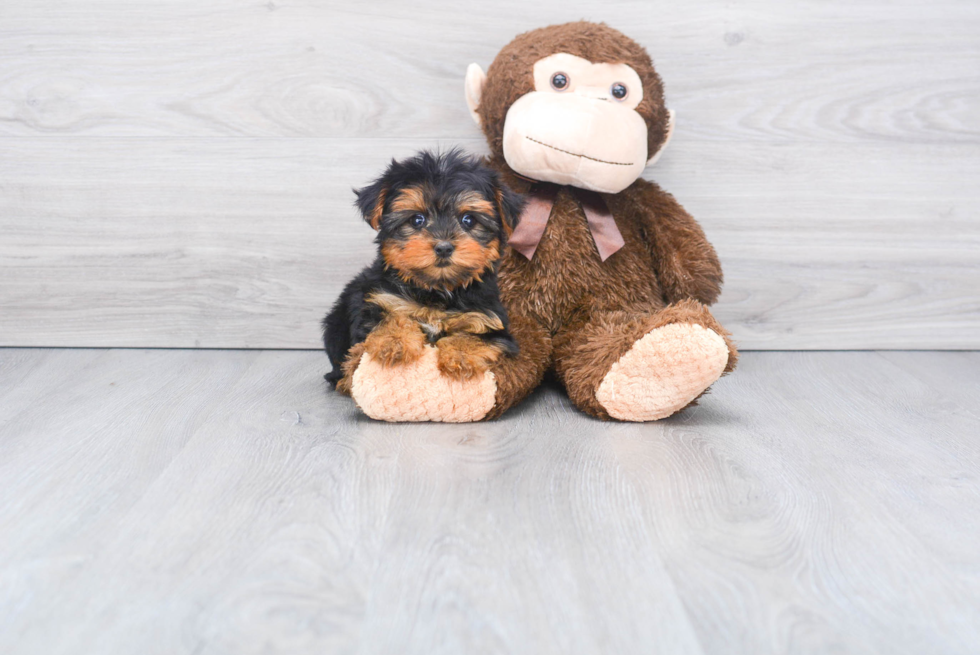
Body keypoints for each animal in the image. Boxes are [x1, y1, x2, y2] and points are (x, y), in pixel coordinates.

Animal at [324, 150, 524, 394]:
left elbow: (477, 337)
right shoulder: (381, 300)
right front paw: (394, 341)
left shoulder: (489, 320)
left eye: (468, 220)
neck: (436, 290)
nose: (444, 247)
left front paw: (461, 356)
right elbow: (389, 318)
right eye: (417, 219)